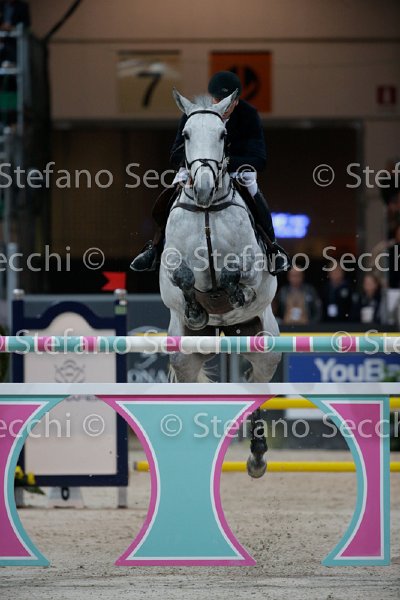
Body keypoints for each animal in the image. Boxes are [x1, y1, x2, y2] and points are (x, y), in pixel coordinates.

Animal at [159, 89, 281, 477]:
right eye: (186, 135)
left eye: (223, 135)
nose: (201, 187)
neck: (207, 210)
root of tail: (224, 335)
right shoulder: (171, 268)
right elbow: (182, 276)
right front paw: (198, 307)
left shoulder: (255, 269)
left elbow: (236, 275)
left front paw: (230, 291)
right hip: (185, 354)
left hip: (265, 345)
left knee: (257, 387)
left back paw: (257, 455)